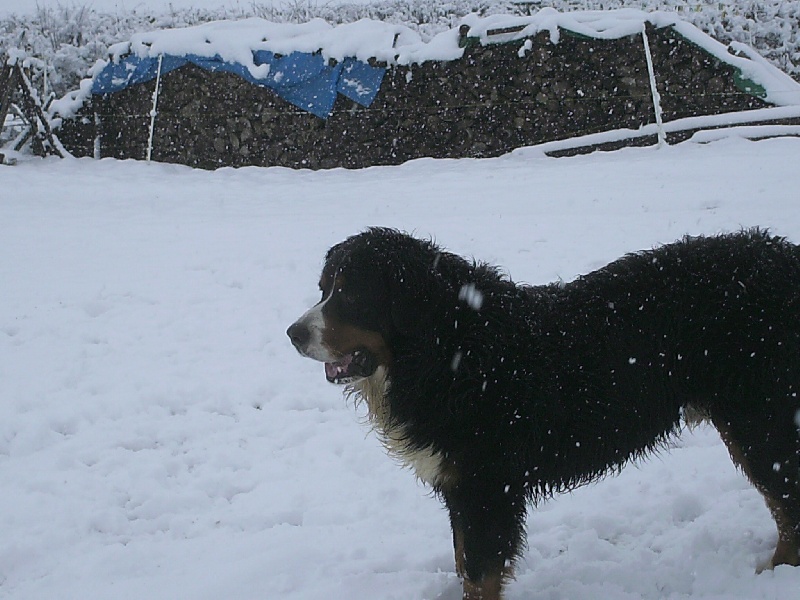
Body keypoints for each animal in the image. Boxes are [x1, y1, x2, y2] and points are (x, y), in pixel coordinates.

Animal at [287, 227, 800, 600]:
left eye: (351, 294)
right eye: (323, 289)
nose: (293, 333)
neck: (450, 350)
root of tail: (783, 256)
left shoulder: (485, 490)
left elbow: (479, 575)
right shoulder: (461, 487)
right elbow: (464, 564)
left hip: (762, 422)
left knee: (788, 504)